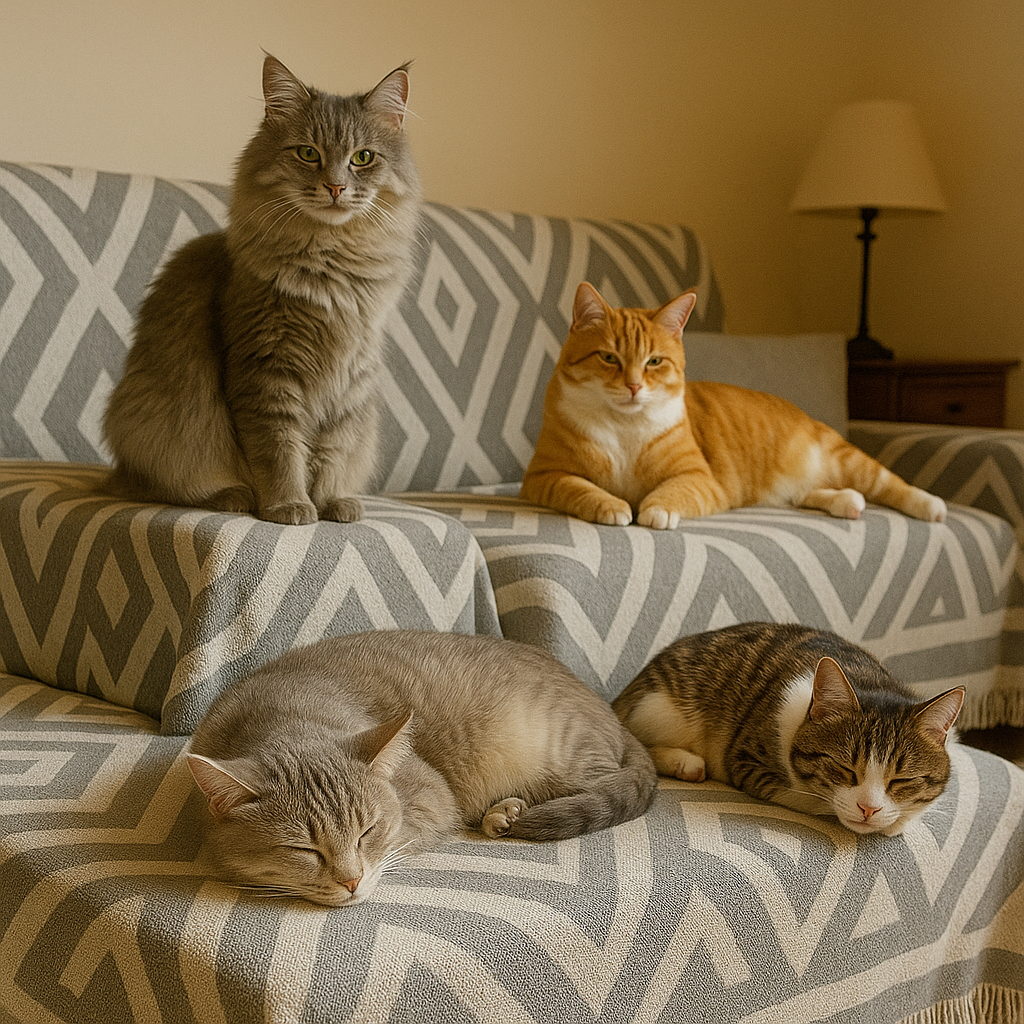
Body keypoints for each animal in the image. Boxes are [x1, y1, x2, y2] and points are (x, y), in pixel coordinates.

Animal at [103, 54, 421, 524]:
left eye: (363, 158)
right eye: (308, 153)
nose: (336, 187)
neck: (333, 270)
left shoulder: (348, 384)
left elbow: (332, 453)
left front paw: (330, 502)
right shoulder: (266, 374)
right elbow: (279, 453)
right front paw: (288, 505)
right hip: (162, 425)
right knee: (169, 485)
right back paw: (231, 497)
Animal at [186, 630, 657, 906]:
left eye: (367, 832)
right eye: (304, 850)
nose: (352, 882)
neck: (278, 713)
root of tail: (607, 709)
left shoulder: (432, 796)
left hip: (563, 753)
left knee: (603, 784)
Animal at [519, 282, 947, 529]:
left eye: (654, 362)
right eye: (609, 358)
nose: (634, 386)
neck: (624, 428)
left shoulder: (698, 477)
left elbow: (672, 491)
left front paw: (655, 510)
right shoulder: (544, 477)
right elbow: (581, 488)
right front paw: (612, 505)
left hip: (846, 460)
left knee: (888, 483)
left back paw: (930, 505)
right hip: (797, 488)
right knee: (812, 493)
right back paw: (848, 502)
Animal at [613, 622, 964, 835]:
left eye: (901, 780)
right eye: (844, 769)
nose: (868, 809)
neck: (869, 679)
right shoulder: (745, 761)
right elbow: (814, 801)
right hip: (661, 711)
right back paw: (685, 763)